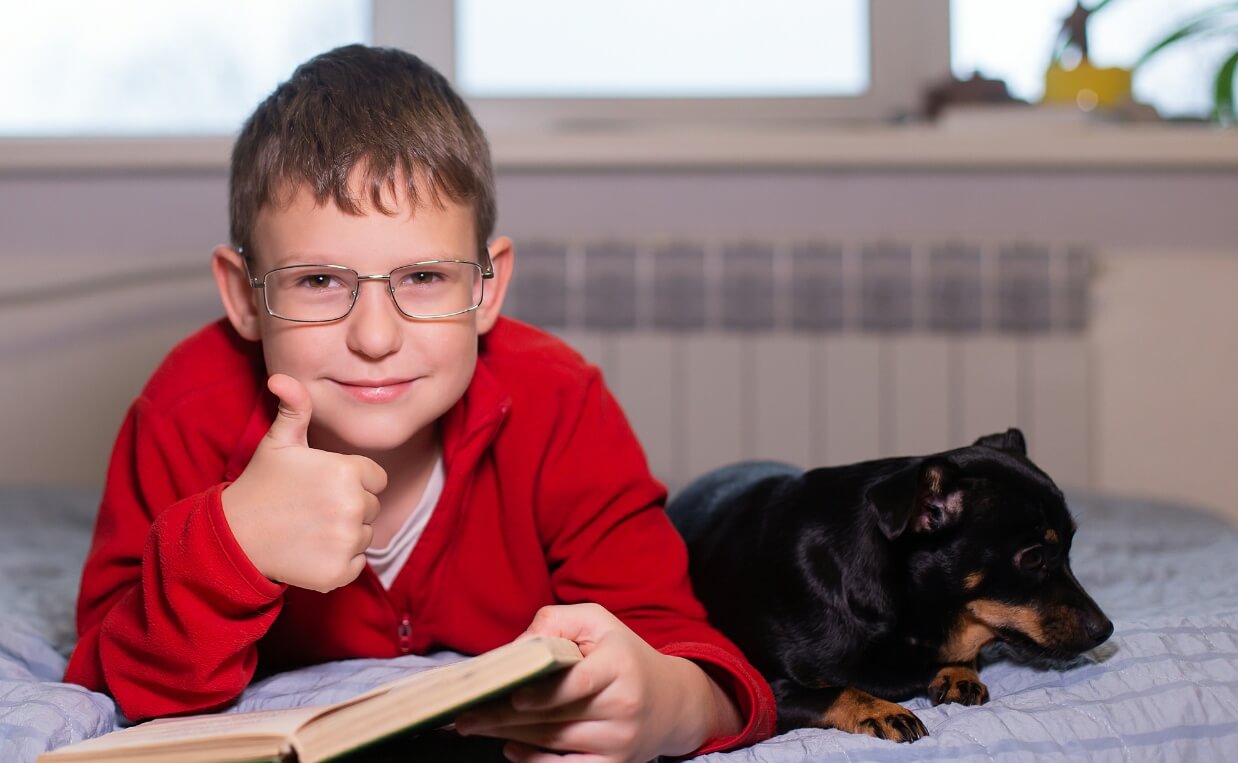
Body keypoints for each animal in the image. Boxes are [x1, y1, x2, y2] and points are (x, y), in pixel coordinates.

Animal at [668, 431, 1114, 743]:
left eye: (1071, 546)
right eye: (1033, 558)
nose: (1107, 631)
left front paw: (960, 672)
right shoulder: (765, 689)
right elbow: (836, 691)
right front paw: (880, 710)